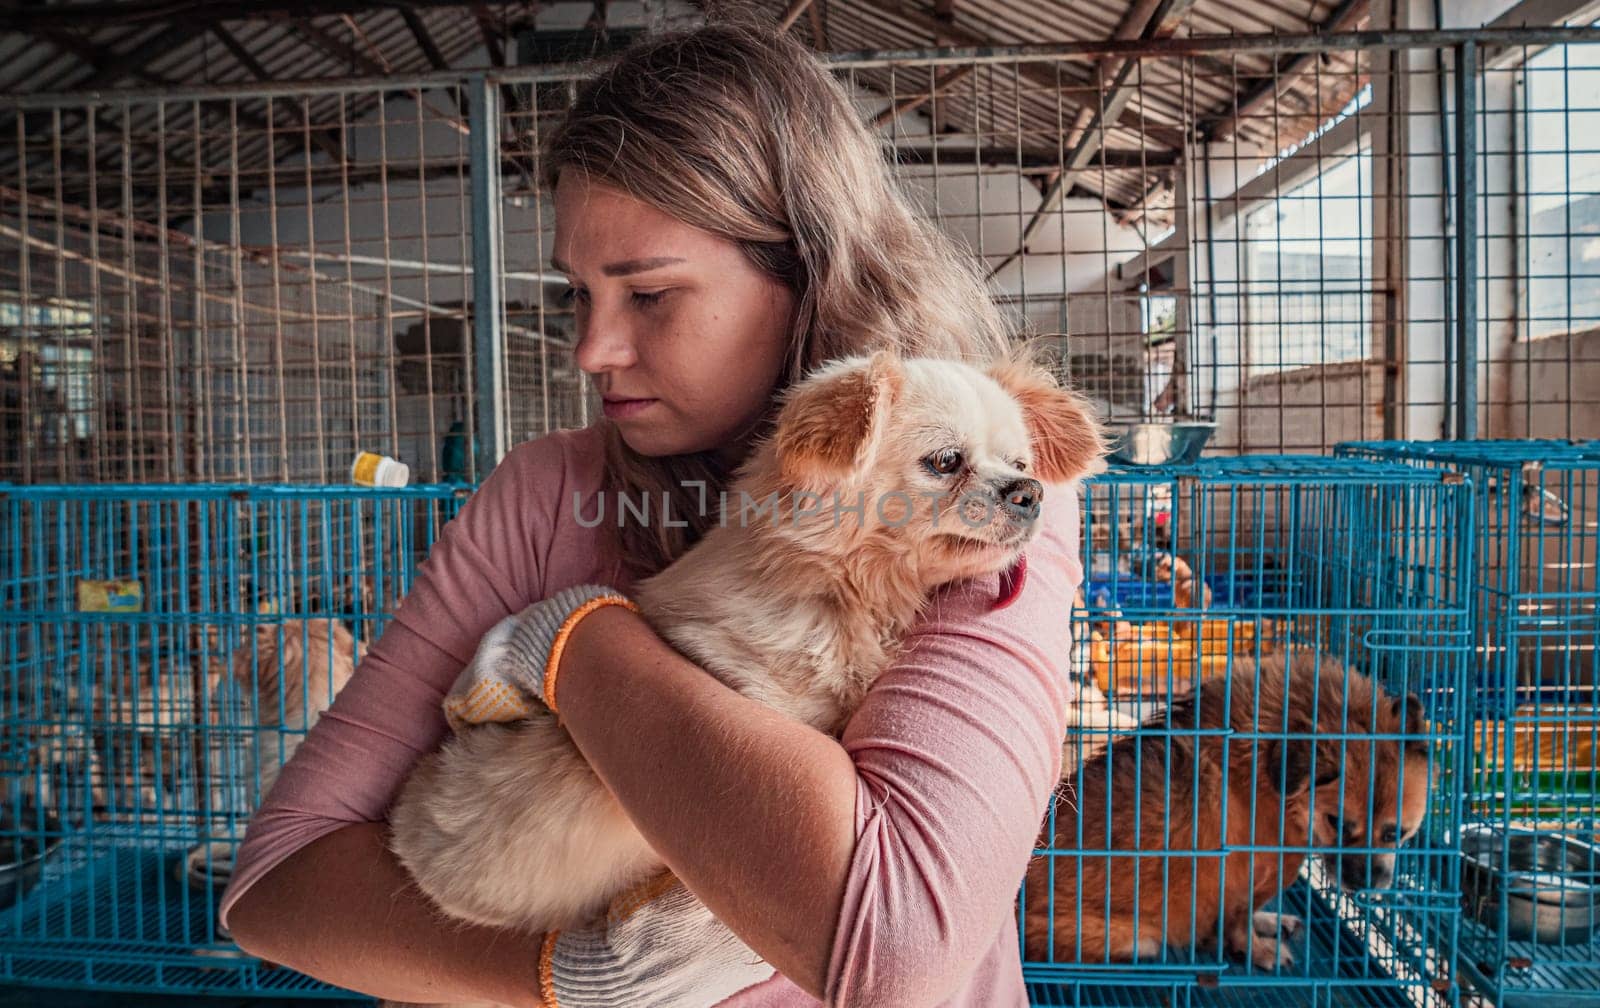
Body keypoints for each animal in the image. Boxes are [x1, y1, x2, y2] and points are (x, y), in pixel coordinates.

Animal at [1030, 652, 1433, 972]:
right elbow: (1238, 923)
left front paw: (1265, 923)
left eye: (1395, 832)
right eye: (1338, 823)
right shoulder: (1246, 875)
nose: (1366, 884)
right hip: (1132, 937)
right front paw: (1258, 950)